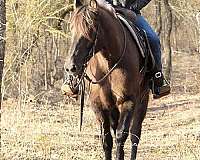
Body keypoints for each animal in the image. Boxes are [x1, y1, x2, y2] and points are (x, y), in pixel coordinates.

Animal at [61, 0, 151, 159]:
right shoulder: (98, 105)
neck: (109, 62)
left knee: (135, 134)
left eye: (90, 28)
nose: (71, 67)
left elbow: (121, 136)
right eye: (71, 28)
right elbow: (107, 139)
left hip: (142, 98)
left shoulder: (128, 101)